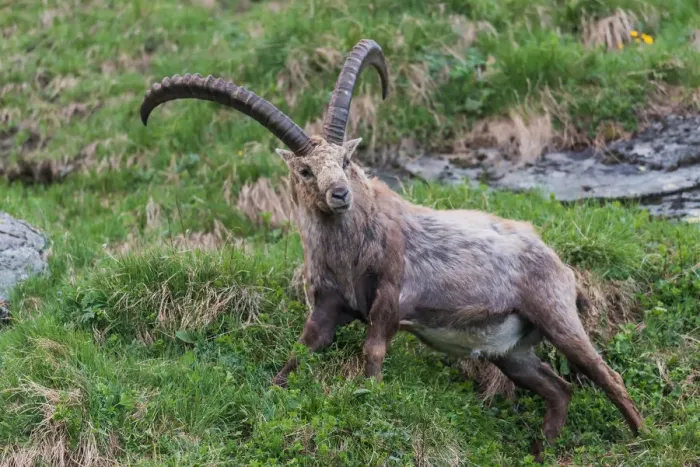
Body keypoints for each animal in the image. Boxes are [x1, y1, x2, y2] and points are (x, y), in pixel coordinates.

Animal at [139, 39, 645, 461]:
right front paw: (272, 393)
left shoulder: (389, 296)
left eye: (346, 160)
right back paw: (543, 449)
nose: (339, 193)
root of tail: (558, 262)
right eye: (305, 170)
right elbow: (302, 351)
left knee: (607, 376)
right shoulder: (328, 305)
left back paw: (643, 437)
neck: (348, 251)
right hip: (513, 351)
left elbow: (373, 351)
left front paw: (371, 404)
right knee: (559, 388)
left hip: (555, 315)